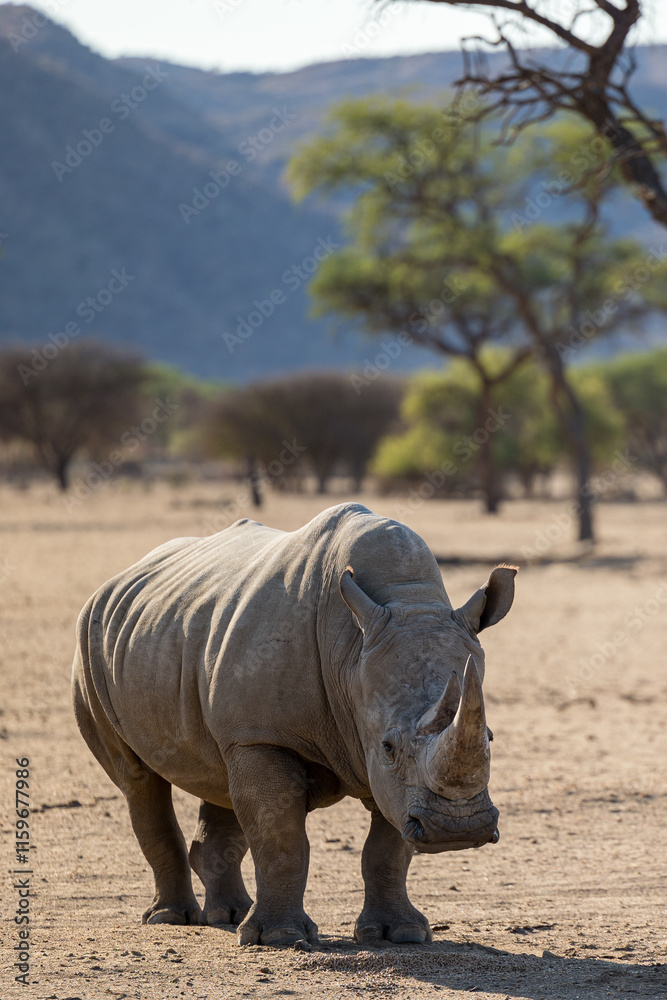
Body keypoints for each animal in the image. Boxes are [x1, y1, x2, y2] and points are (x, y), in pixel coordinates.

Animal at [72, 502, 516, 946]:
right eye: (389, 747)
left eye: (491, 737)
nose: (457, 828)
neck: (351, 648)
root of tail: (120, 578)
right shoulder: (265, 736)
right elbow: (281, 837)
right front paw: (279, 938)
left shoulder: (371, 756)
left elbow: (387, 847)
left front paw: (400, 934)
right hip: (89, 645)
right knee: (139, 779)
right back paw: (171, 918)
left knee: (220, 776)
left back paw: (229, 915)